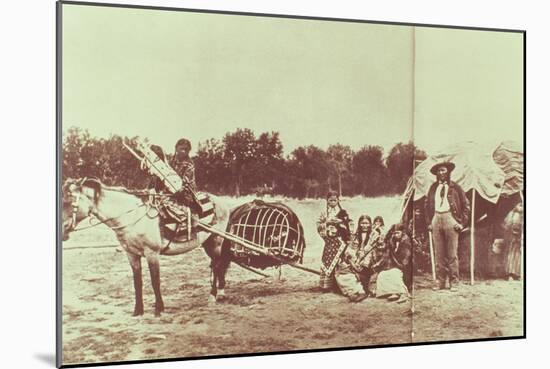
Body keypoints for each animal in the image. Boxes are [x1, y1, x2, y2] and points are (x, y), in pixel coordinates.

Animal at [61, 177, 234, 314]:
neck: (132, 217)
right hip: (207, 244)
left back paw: (213, 295)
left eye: (68, 201)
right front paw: (138, 311)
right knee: (217, 265)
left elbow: (155, 281)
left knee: (217, 266)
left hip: (216, 241)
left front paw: (159, 309)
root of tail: (222, 202)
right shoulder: (131, 255)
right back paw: (219, 292)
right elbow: (137, 283)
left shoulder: (152, 254)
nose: (62, 230)